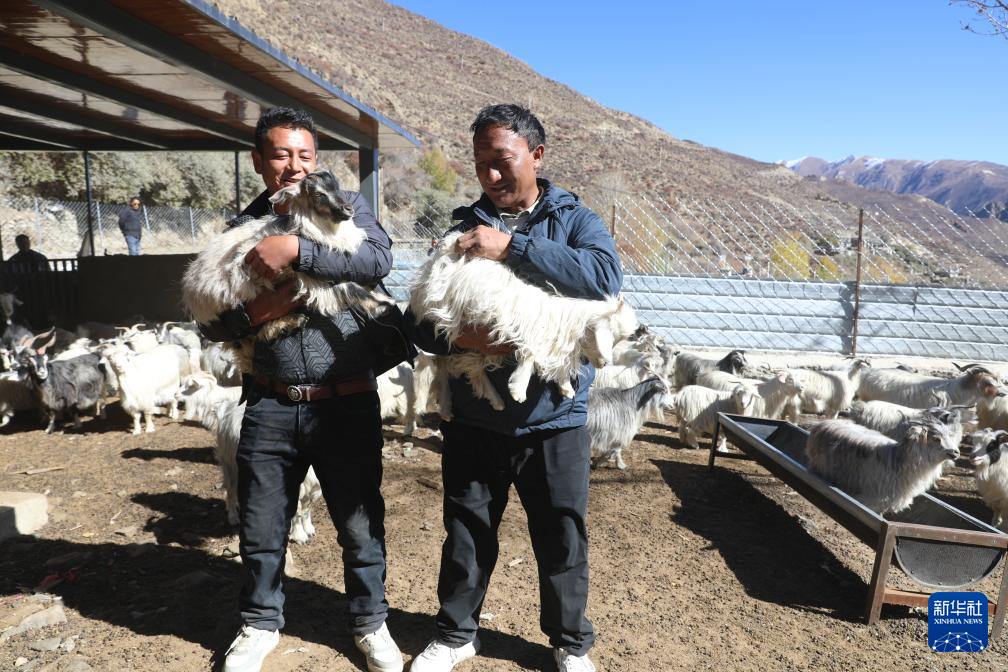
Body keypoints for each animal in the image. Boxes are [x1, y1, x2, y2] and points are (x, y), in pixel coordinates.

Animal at [182, 170, 393, 372]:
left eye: (337, 187)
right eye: (318, 194)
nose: (348, 209)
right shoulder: (310, 278)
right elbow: (348, 288)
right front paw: (383, 304)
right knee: (256, 330)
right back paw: (290, 322)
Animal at [410, 230, 638, 409]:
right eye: (609, 334)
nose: (604, 363)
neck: (569, 326)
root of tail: (449, 248)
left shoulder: (557, 347)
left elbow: (559, 365)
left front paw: (566, 387)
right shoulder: (522, 330)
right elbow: (530, 355)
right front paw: (518, 390)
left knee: (469, 368)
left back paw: (494, 400)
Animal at [805, 412, 962, 514]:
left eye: (949, 436)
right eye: (935, 438)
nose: (956, 452)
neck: (899, 462)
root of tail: (823, 422)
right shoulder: (871, 502)